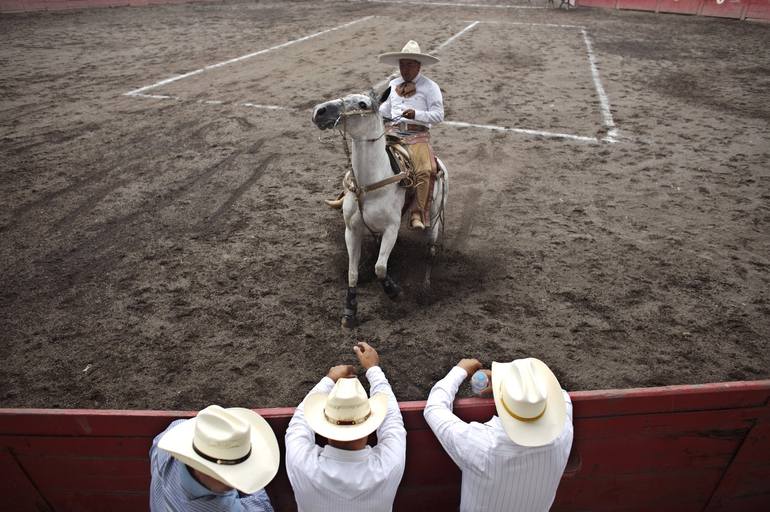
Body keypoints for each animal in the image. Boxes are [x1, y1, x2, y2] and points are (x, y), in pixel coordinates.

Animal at [308, 88, 448, 328]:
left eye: (363, 104)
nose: (320, 111)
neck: (369, 185)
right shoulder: (352, 230)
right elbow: (352, 272)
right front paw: (350, 311)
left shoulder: (391, 228)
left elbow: (380, 267)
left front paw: (394, 291)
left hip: (435, 218)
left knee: (430, 251)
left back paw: (425, 289)